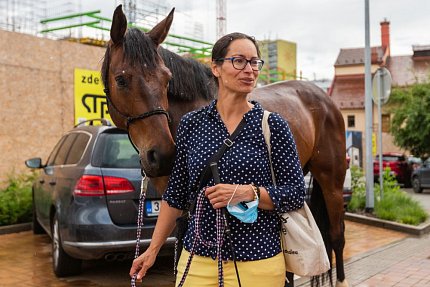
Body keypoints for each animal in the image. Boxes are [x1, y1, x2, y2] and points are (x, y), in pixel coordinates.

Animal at [101, 5, 350, 287]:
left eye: (166, 79)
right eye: (121, 79)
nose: (163, 155)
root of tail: (323, 98)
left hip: (332, 180)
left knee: (337, 234)